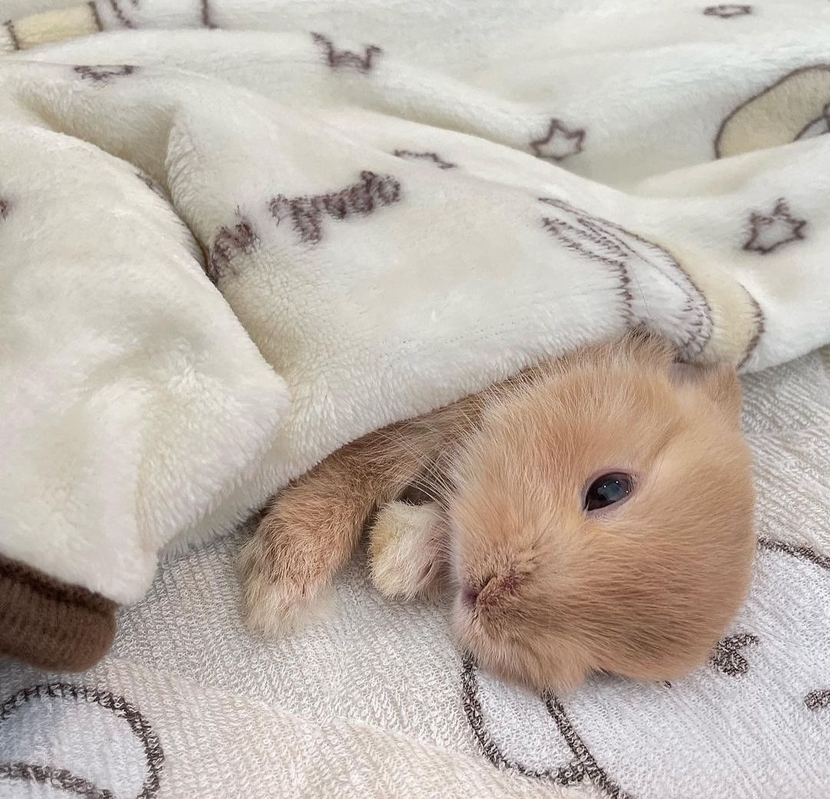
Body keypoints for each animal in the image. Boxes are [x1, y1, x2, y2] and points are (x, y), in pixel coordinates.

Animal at [238, 330, 756, 691]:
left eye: (606, 667)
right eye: (609, 490)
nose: (491, 600)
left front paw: (401, 559)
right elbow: (359, 466)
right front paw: (279, 586)